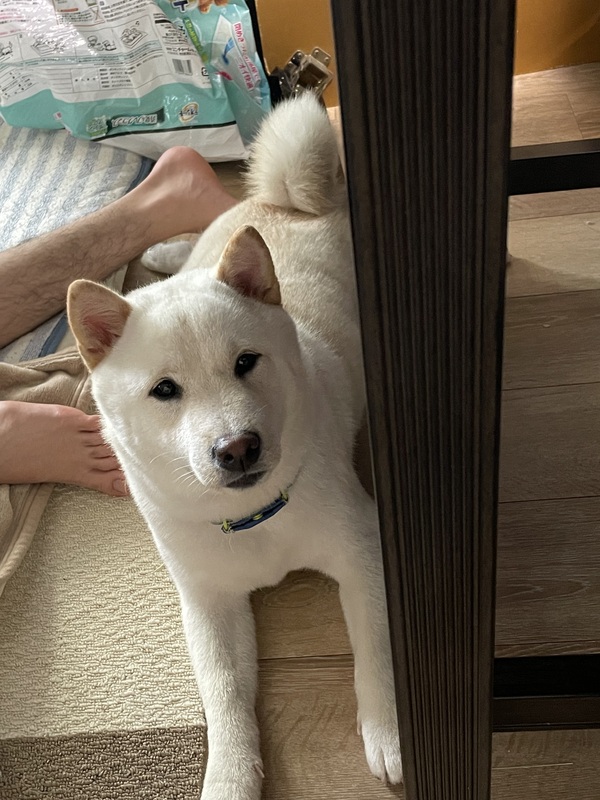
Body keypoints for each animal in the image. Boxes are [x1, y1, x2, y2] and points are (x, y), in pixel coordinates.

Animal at [67, 94, 402, 799]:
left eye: (247, 362)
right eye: (164, 390)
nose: (238, 449)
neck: (251, 521)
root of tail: (289, 205)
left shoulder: (363, 551)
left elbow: (377, 654)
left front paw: (390, 732)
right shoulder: (207, 601)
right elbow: (223, 696)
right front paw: (228, 778)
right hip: (212, 238)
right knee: (199, 235)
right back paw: (164, 251)